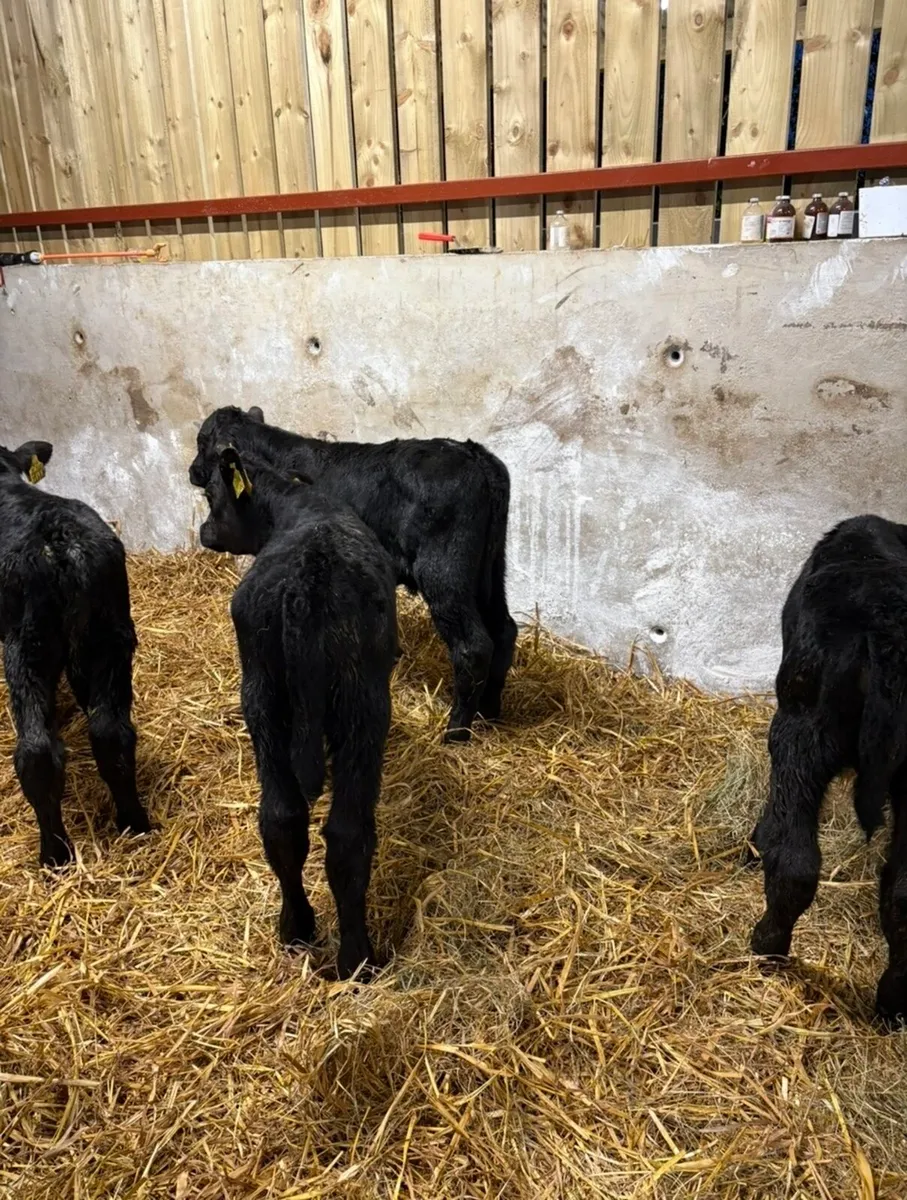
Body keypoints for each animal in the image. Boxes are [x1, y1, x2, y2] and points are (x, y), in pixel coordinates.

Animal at [0, 439, 149, 867]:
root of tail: (61, 542)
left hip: (27, 645)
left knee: (35, 751)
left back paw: (54, 854)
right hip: (110, 635)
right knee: (112, 733)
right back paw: (133, 822)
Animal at [188, 406, 517, 743]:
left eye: (202, 441)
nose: (192, 471)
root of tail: (473, 454)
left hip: (445, 573)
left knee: (473, 647)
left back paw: (456, 731)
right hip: (491, 570)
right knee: (504, 629)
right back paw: (489, 712)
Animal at [198, 443, 397, 979]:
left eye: (212, 498)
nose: (203, 531)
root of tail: (310, 582)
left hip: (263, 694)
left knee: (284, 820)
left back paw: (300, 930)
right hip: (362, 704)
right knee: (344, 833)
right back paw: (355, 956)